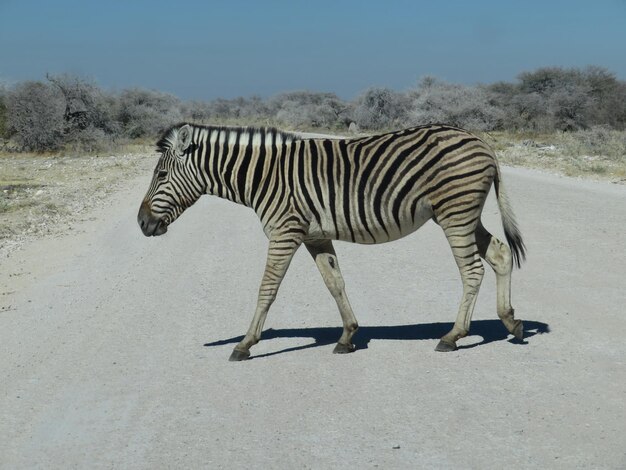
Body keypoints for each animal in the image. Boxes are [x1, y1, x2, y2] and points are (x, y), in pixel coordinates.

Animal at [136, 123, 520, 362]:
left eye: (161, 175)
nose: (141, 223)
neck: (263, 176)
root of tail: (480, 141)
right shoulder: (315, 236)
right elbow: (334, 283)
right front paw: (348, 336)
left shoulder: (285, 232)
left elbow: (267, 288)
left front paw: (245, 344)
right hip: (461, 214)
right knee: (500, 255)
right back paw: (511, 323)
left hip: (456, 213)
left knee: (472, 271)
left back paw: (453, 336)